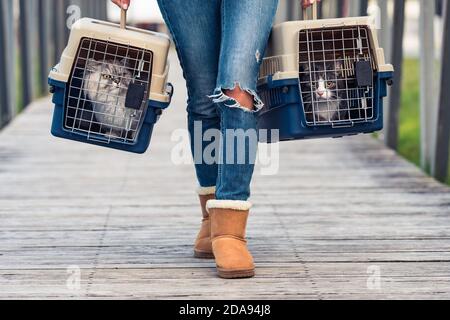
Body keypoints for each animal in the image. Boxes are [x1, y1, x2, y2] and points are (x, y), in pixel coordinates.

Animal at [48, 10, 172, 153]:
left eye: (122, 74)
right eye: (107, 76)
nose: (117, 81)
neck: (115, 102)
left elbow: (134, 132)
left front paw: (130, 137)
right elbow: (114, 131)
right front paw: (111, 136)